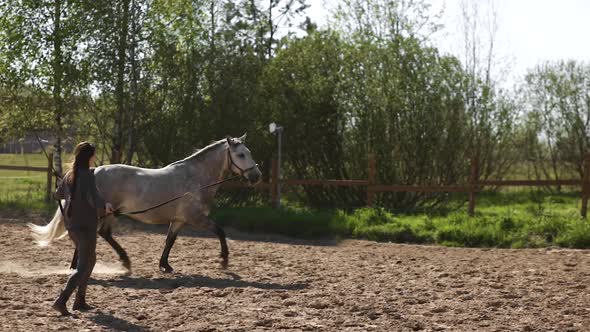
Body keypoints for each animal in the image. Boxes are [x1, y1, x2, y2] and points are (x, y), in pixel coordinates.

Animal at [29, 134, 262, 274]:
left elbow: (170, 241)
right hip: (104, 213)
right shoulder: (196, 219)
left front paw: (165, 265)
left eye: (250, 153)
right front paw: (224, 260)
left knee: (101, 235)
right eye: (241, 154)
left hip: (110, 213)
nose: (256, 176)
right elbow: (221, 232)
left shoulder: (179, 220)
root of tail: (93, 171)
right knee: (93, 235)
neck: (195, 178)